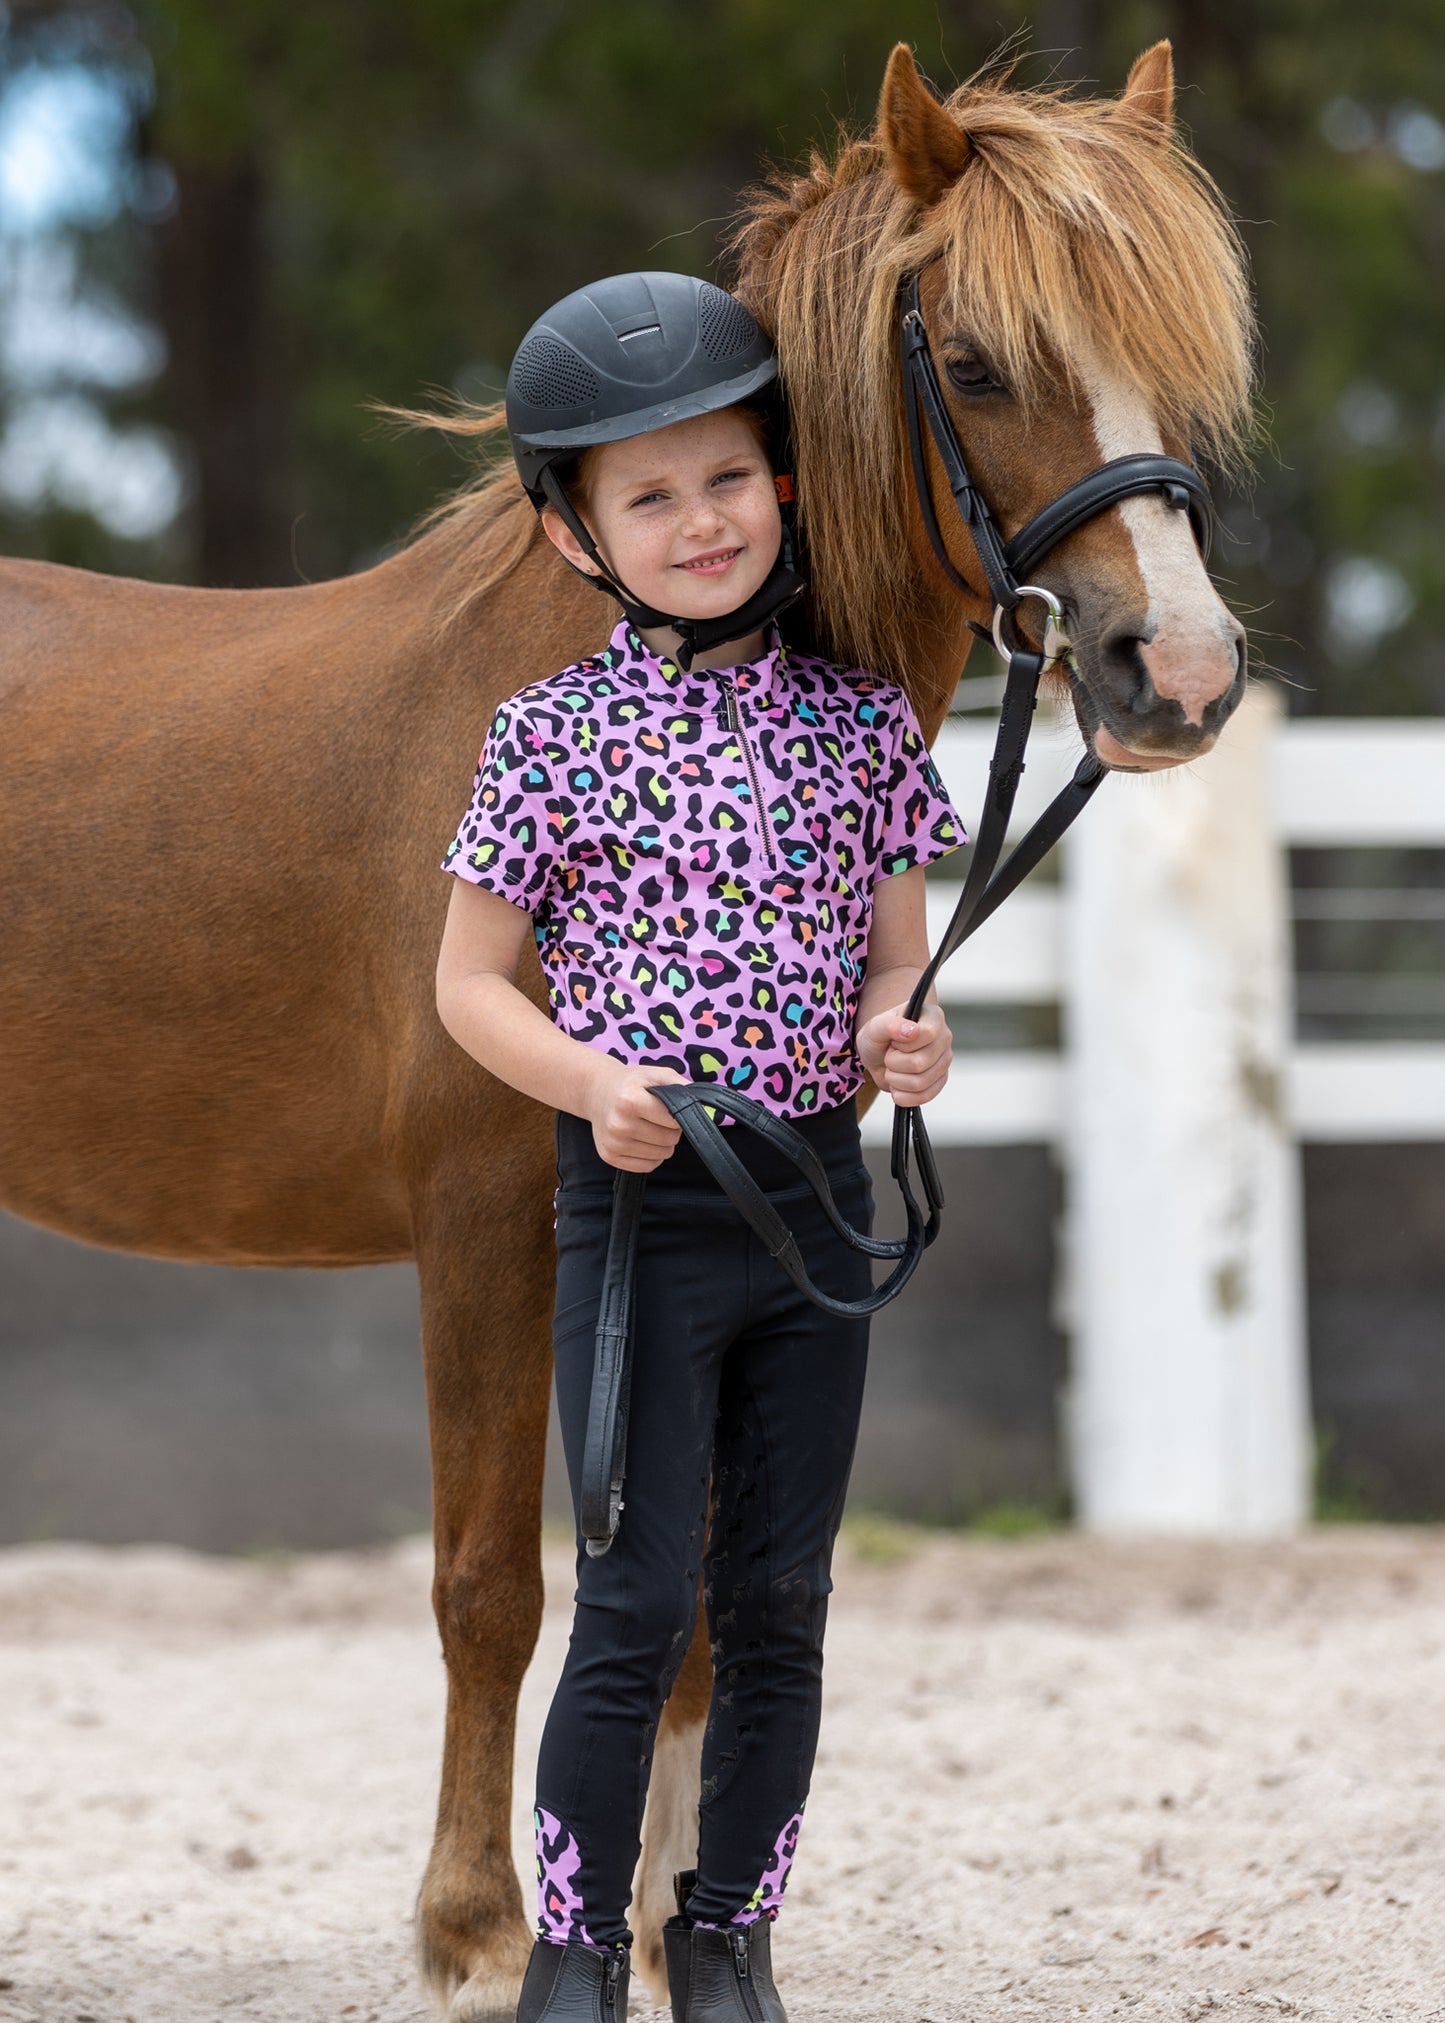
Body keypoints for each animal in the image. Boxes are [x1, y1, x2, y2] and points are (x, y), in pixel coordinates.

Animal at [0, 39, 1246, 2014]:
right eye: (976, 361)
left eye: (1187, 356)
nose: (1180, 680)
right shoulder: (491, 1227)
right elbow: (497, 1581)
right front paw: (474, 1926)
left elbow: (690, 1615)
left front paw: (671, 1925)